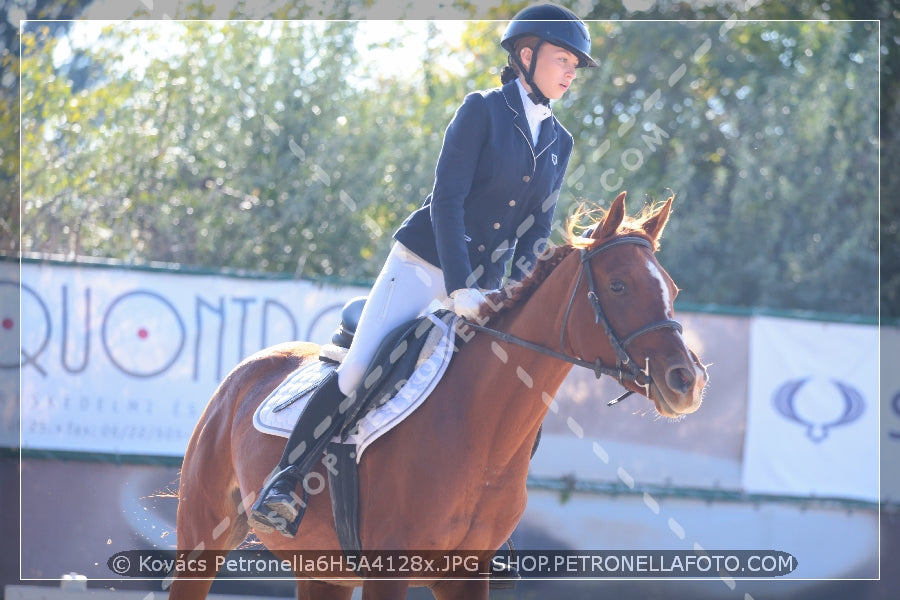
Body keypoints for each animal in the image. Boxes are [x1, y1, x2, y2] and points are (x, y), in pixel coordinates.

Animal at [167, 192, 704, 600]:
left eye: (673, 289)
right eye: (618, 285)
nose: (687, 381)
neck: (483, 433)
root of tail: (245, 372)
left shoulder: (465, 576)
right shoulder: (389, 573)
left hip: (322, 570)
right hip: (201, 537)